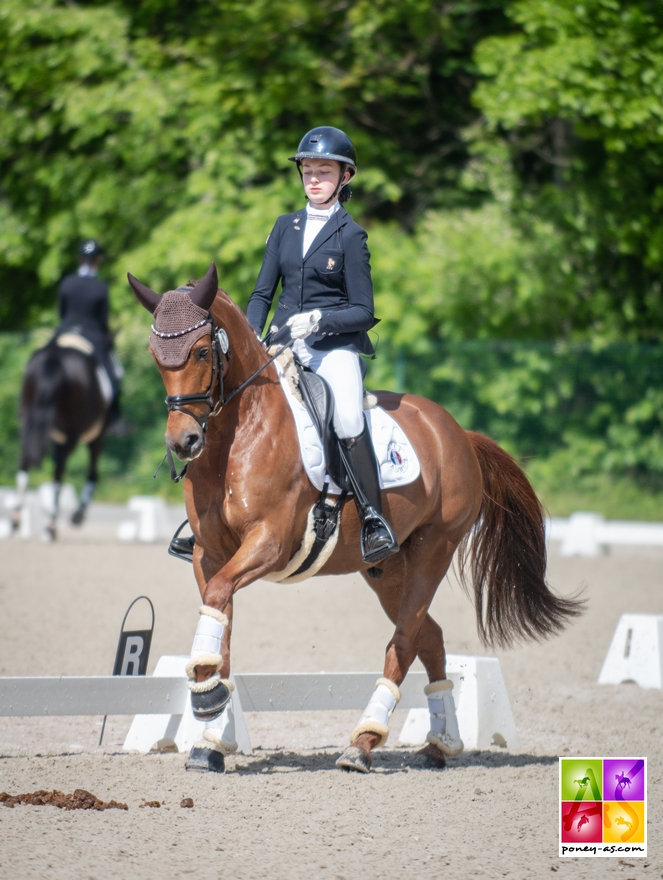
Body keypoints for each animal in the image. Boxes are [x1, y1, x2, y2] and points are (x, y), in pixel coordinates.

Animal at [13, 340, 109, 540]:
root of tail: (54, 358)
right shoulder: (97, 435)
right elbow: (93, 471)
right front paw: (78, 514)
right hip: (72, 435)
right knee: (59, 473)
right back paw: (51, 525)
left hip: (29, 423)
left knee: (25, 464)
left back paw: (16, 519)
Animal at [128, 264, 580, 772]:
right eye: (155, 356)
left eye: (204, 351)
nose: (183, 442)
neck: (236, 436)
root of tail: (458, 432)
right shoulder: (208, 553)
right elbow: (218, 617)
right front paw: (211, 731)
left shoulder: (269, 542)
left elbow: (220, 598)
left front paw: (206, 700)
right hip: (386, 568)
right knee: (430, 637)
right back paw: (440, 744)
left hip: (433, 549)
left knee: (404, 641)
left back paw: (362, 743)